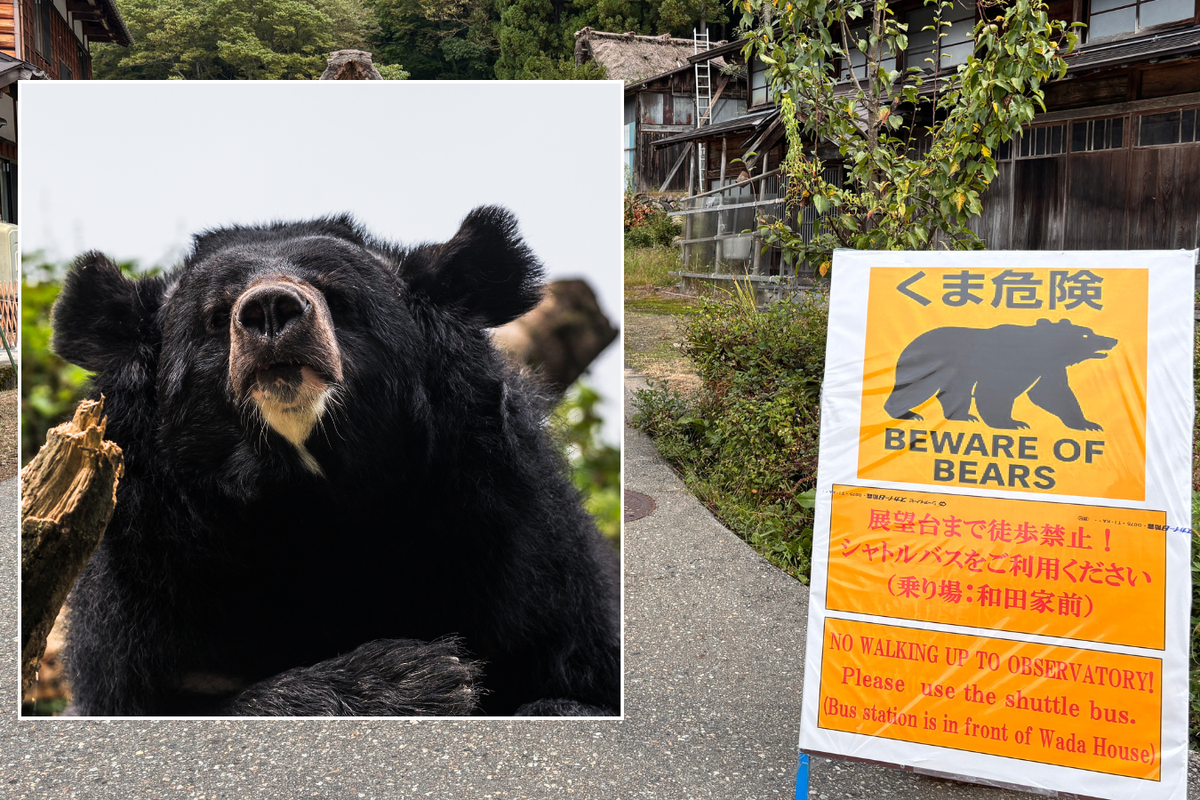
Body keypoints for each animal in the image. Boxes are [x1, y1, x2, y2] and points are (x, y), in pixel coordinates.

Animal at [49, 206, 621, 717]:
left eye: (339, 299)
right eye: (215, 315)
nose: (270, 309)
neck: (312, 501)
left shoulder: (525, 554)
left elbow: (575, 678)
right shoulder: (145, 586)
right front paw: (420, 679)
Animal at [883, 318, 1117, 431]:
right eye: (1086, 334)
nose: (1112, 339)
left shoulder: (1049, 367)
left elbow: (1051, 393)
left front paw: (1088, 424)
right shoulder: (1006, 361)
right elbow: (996, 392)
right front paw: (1012, 422)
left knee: (956, 391)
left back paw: (963, 416)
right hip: (927, 364)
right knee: (914, 388)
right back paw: (908, 413)